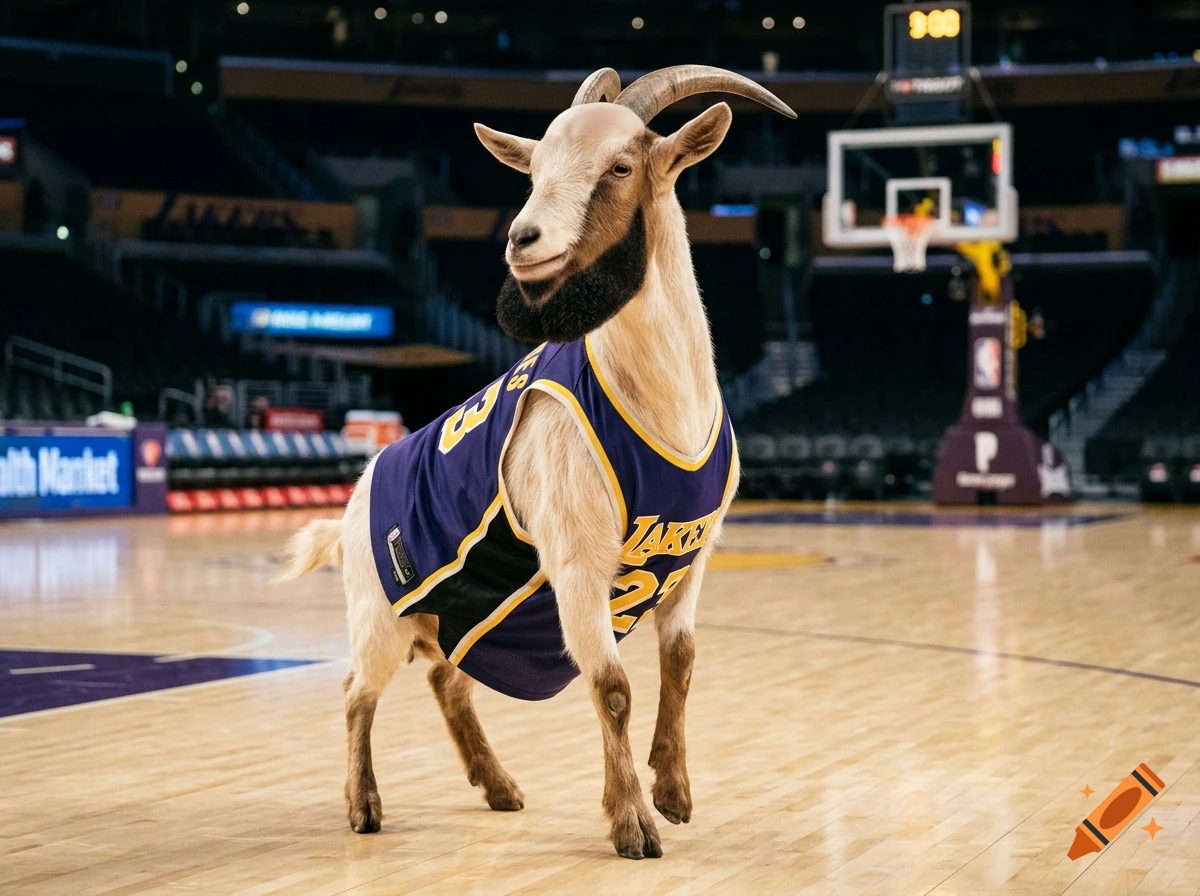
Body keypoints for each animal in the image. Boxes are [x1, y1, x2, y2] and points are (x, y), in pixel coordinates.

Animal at [280, 65, 794, 860]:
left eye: (619, 167)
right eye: (536, 170)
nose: (523, 238)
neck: (661, 401)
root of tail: (356, 499)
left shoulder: (693, 558)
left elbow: (680, 663)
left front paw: (674, 792)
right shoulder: (579, 563)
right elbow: (612, 688)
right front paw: (632, 823)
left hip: (460, 621)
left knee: (448, 683)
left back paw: (497, 785)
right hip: (381, 608)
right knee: (356, 692)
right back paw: (363, 805)